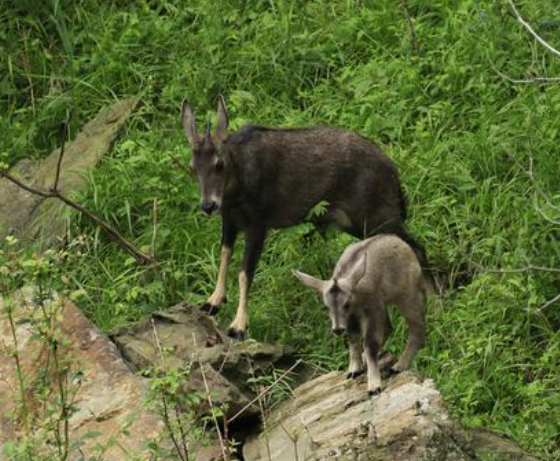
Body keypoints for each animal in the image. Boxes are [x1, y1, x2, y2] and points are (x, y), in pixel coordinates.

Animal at [294, 235, 428, 394]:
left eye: (346, 304)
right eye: (326, 307)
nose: (337, 329)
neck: (357, 297)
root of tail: (401, 242)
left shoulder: (372, 309)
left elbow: (370, 343)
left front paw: (374, 385)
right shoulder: (353, 317)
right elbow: (353, 339)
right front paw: (354, 369)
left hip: (407, 295)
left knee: (417, 327)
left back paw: (399, 366)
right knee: (389, 327)